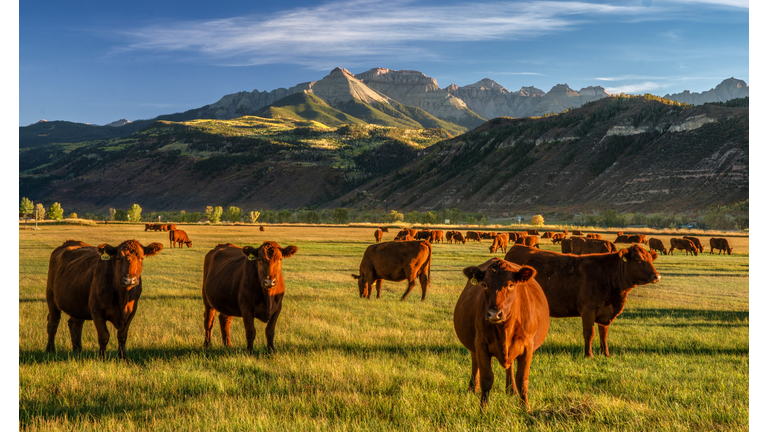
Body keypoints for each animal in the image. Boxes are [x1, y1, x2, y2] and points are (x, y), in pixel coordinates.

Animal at [453, 258, 549, 410]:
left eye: (510, 285)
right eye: (484, 284)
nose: (494, 313)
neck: (505, 329)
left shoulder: (528, 346)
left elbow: (522, 379)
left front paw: (525, 407)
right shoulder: (481, 344)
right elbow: (487, 378)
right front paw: (483, 408)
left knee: (510, 367)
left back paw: (511, 390)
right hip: (474, 346)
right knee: (475, 364)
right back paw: (473, 388)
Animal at [504, 244, 660, 358]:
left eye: (650, 259)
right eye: (638, 259)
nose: (657, 276)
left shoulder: (604, 312)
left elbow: (603, 334)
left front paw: (606, 354)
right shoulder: (588, 310)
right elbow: (589, 333)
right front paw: (589, 355)